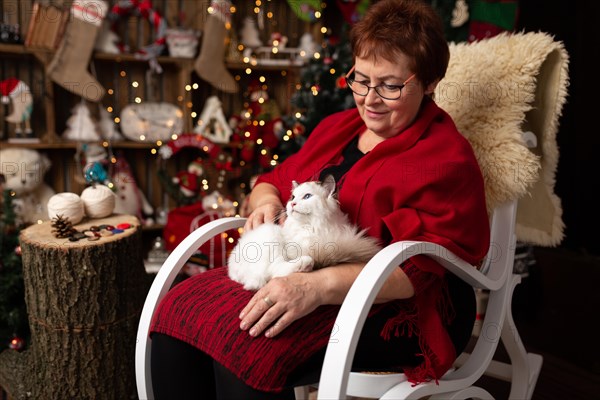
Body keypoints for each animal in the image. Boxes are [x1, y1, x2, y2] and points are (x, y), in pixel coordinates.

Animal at [227, 177, 382, 290]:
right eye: (293, 197)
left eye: (307, 196)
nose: (292, 204)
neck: (315, 226)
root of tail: (233, 271)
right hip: (271, 233)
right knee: (276, 271)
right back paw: (306, 263)